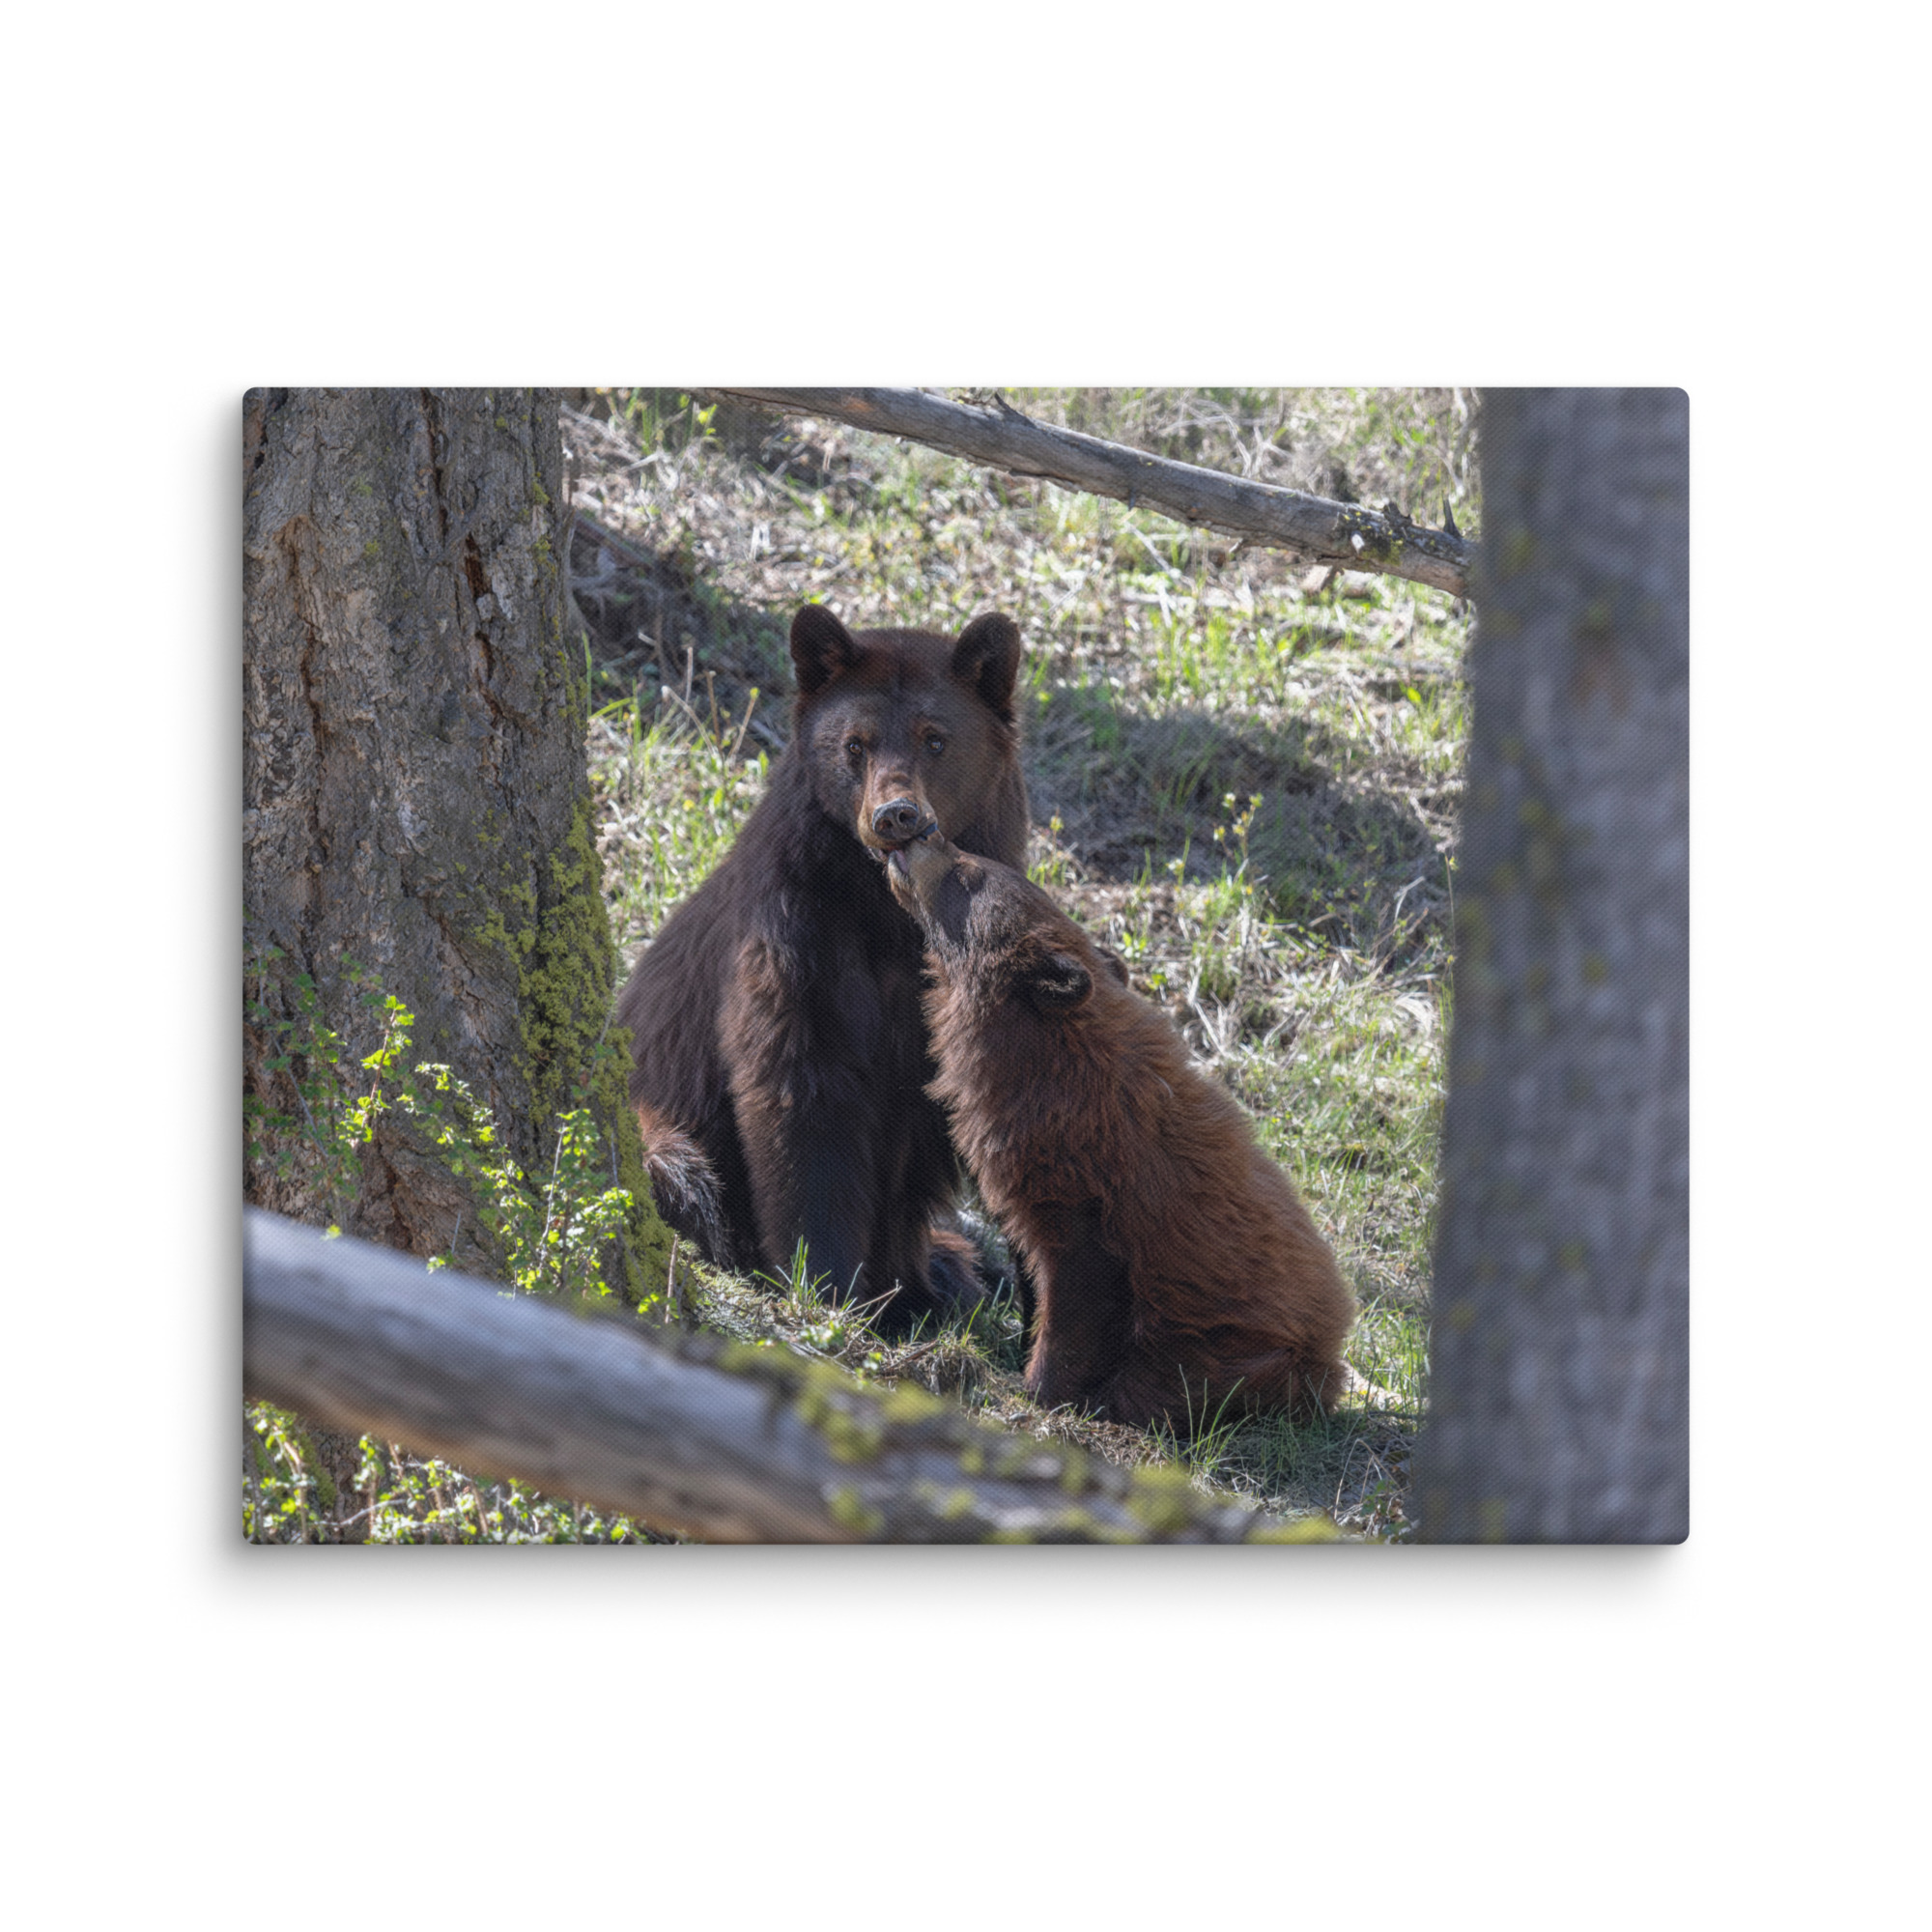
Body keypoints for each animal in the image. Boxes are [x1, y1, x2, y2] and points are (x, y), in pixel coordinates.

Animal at [615, 603, 1031, 1333]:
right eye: (855, 745)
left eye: (935, 739)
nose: (896, 815)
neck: (889, 913)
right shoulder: (795, 933)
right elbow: (801, 1095)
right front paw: (829, 1284)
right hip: (657, 1125)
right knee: (683, 1172)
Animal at [884, 825, 1357, 1430]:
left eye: (968, 872)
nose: (925, 832)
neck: (1045, 1059)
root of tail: (1333, 1351)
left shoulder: (1088, 1184)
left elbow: (1079, 1289)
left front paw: (1038, 1386)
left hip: (1238, 1353)